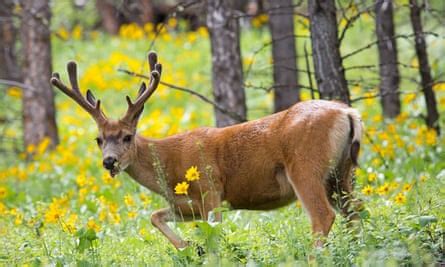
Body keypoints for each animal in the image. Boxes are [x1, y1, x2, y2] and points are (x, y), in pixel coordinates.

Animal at [51, 51, 364, 251]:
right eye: (98, 139)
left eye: (128, 137)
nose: (109, 161)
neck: (169, 165)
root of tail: (348, 112)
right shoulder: (187, 204)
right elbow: (154, 216)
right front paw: (188, 246)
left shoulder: (210, 189)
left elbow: (214, 236)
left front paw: (203, 250)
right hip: (341, 172)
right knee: (356, 211)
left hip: (305, 167)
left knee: (323, 217)